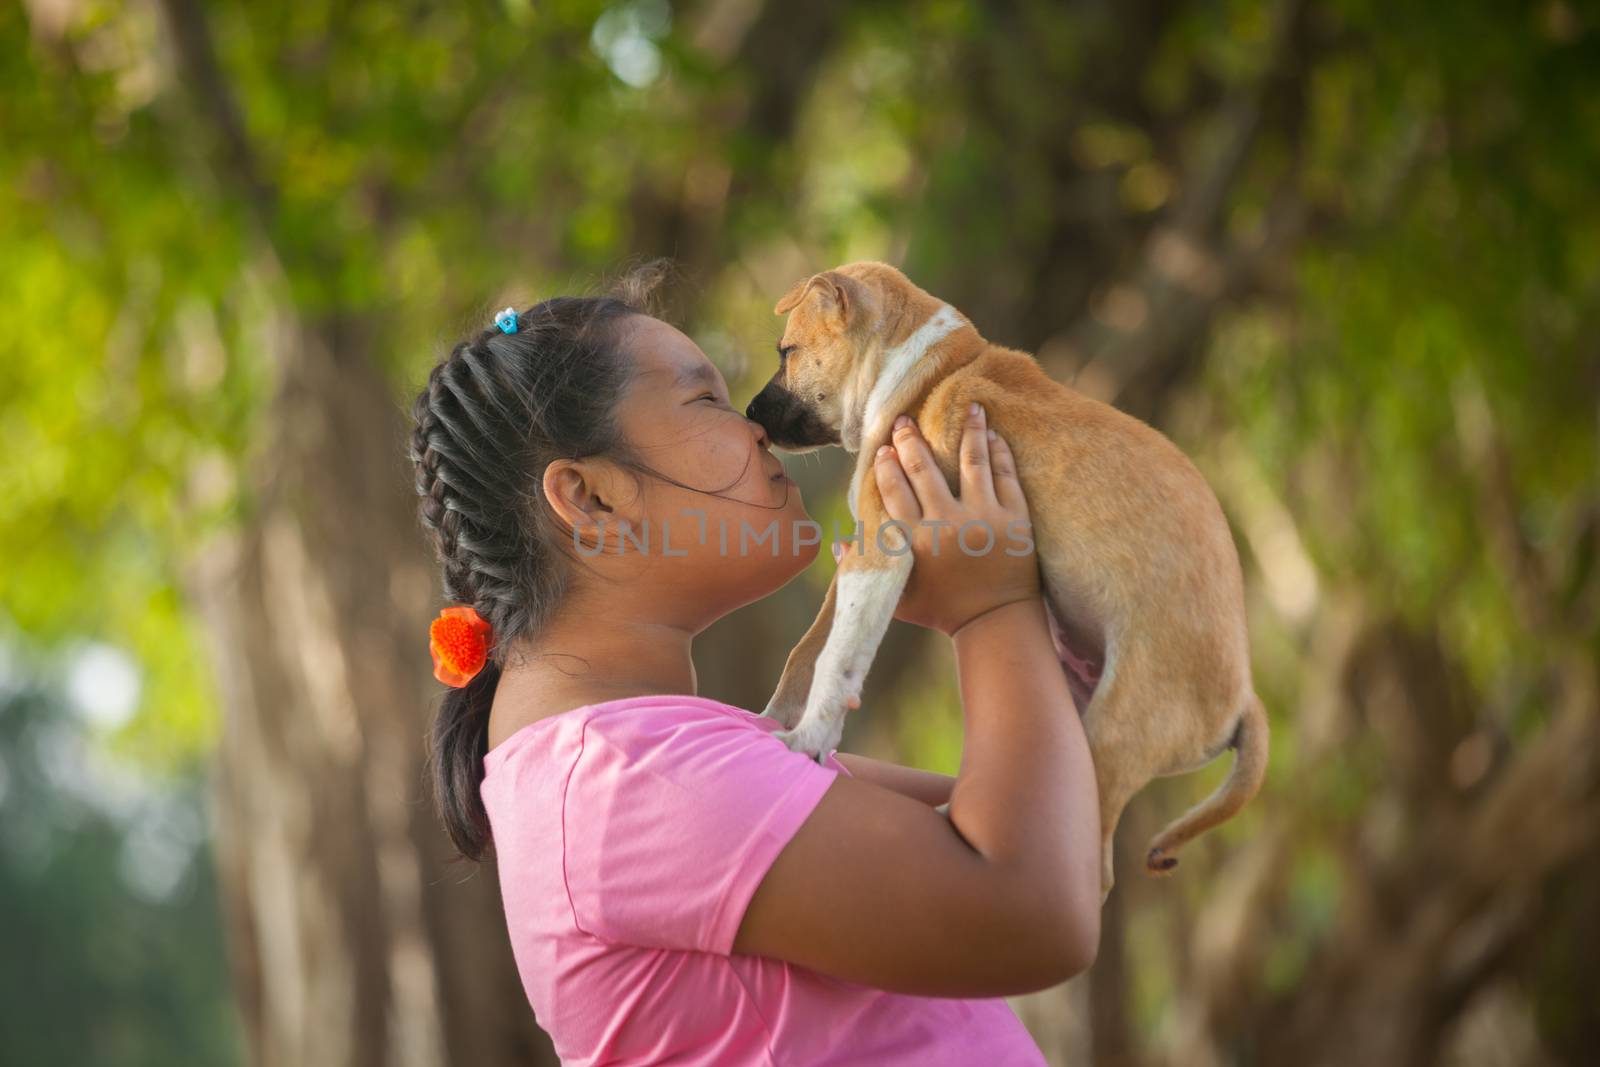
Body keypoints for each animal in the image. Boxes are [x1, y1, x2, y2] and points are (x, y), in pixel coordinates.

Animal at [742, 260, 1267, 902]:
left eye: (786, 351)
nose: (748, 414)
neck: (923, 370)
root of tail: (1243, 697)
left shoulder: (880, 550)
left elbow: (836, 660)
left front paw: (805, 740)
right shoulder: (859, 559)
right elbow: (807, 651)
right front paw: (770, 721)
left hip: (1114, 736)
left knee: (1090, 868)